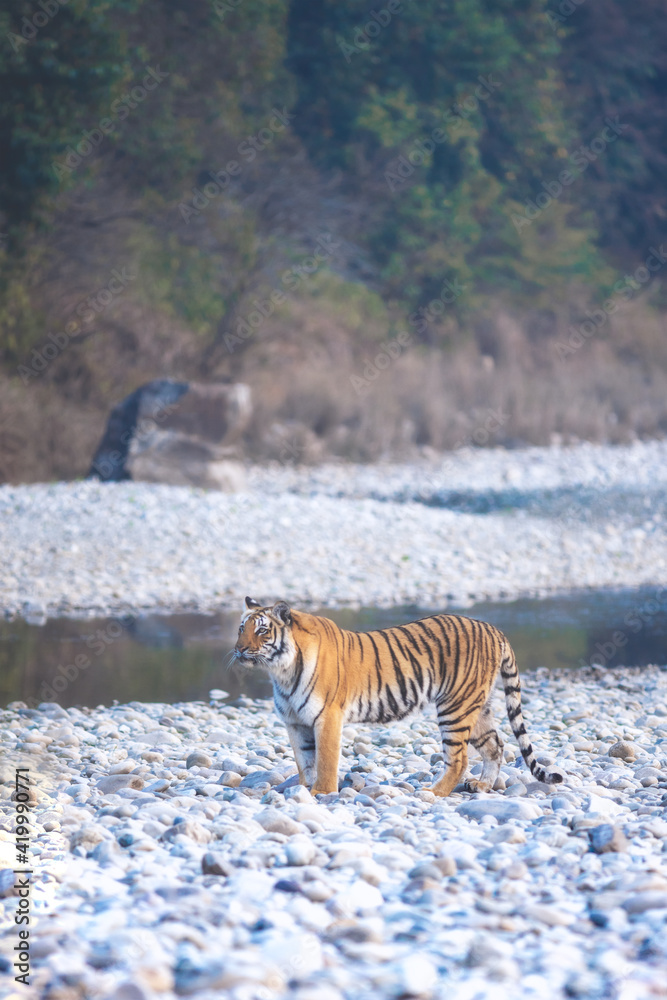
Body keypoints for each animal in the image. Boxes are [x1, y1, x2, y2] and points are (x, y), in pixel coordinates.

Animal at [233, 597, 564, 797]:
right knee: (496, 744)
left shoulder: (327, 717)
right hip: (477, 706)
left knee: (459, 758)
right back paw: (482, 785)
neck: (281, 672)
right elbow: (305, 762)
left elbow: (325, 760)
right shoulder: (295, 723)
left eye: (262, 631)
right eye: (241, 629)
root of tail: (493, 628)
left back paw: (434, 793)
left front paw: (321, 793)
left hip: (454, 708)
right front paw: (303, 790)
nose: (238, 649)